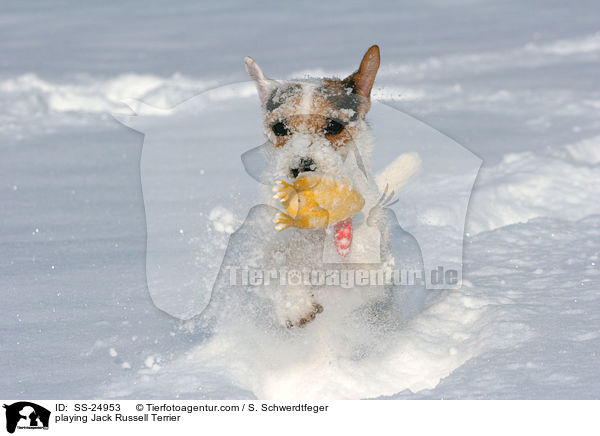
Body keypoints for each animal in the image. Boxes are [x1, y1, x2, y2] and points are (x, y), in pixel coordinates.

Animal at [244, 46, 422, 328]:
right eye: (279, 127)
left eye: (334, 126)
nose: (301, 166)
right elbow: (273, 273)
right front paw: (294, 305)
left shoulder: (372, 273)